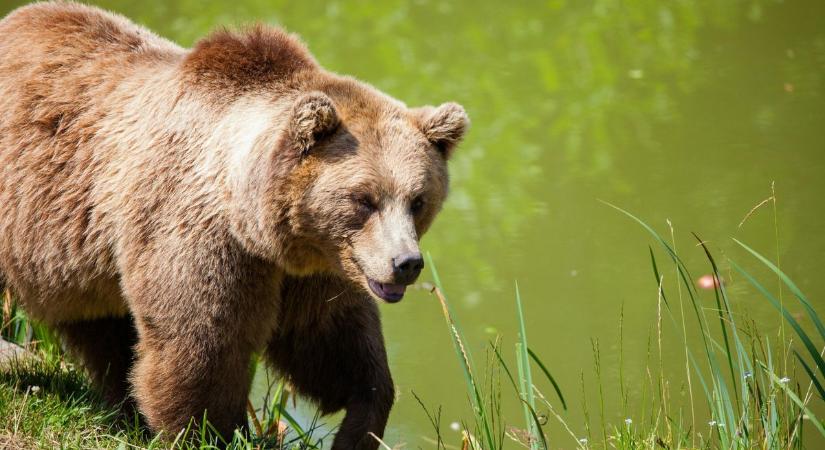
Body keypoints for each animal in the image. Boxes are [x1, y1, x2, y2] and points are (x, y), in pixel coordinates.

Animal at [0, 1, 466, 448]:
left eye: (418, 200)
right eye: (364, 199)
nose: (406, 263)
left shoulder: (316, 267)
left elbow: (332, 342)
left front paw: (360, 422)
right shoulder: (199, 235)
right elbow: (202, 345)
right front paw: (212, 431)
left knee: (101, 327)